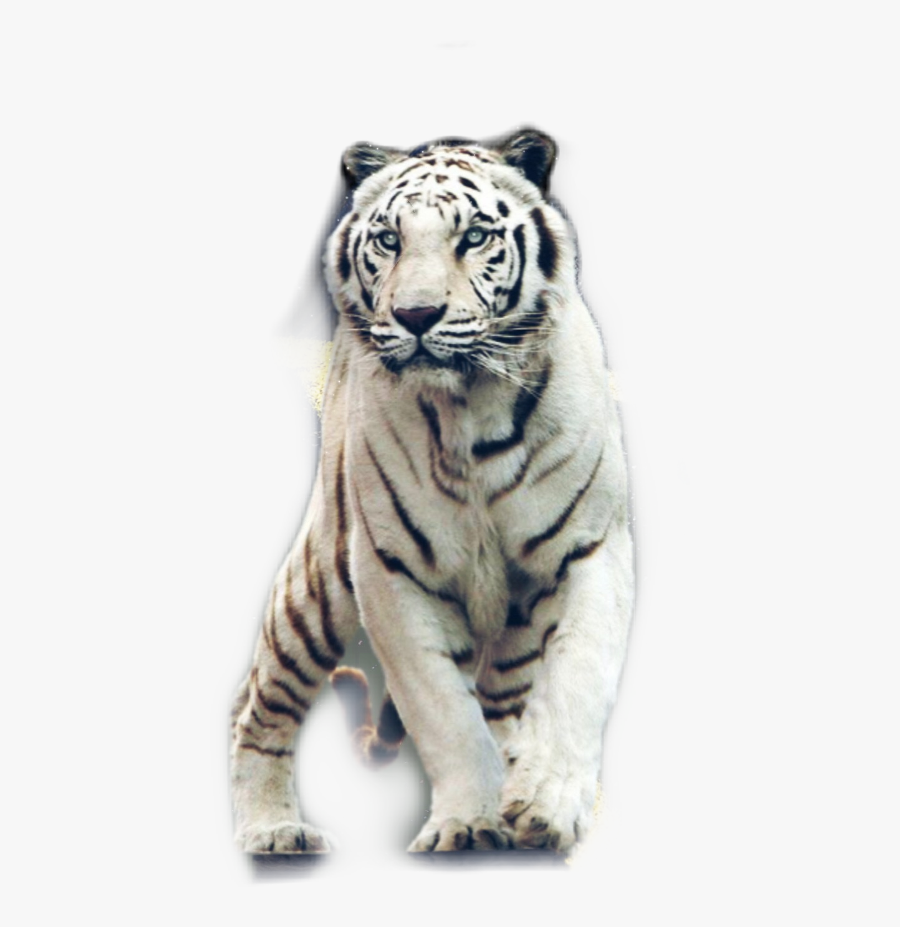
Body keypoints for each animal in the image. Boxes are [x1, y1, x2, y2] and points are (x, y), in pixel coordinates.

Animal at [230, 129, 634, 854]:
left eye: (473, 236)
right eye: (389, 240)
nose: (416, 315)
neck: (472, 411)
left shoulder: (592, 548)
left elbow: (577, 676)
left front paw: (545, 805)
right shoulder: (390, 571)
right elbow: (442, 707)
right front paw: (470, 820)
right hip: (317, 582)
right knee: (258, 705)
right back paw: (273, 828)